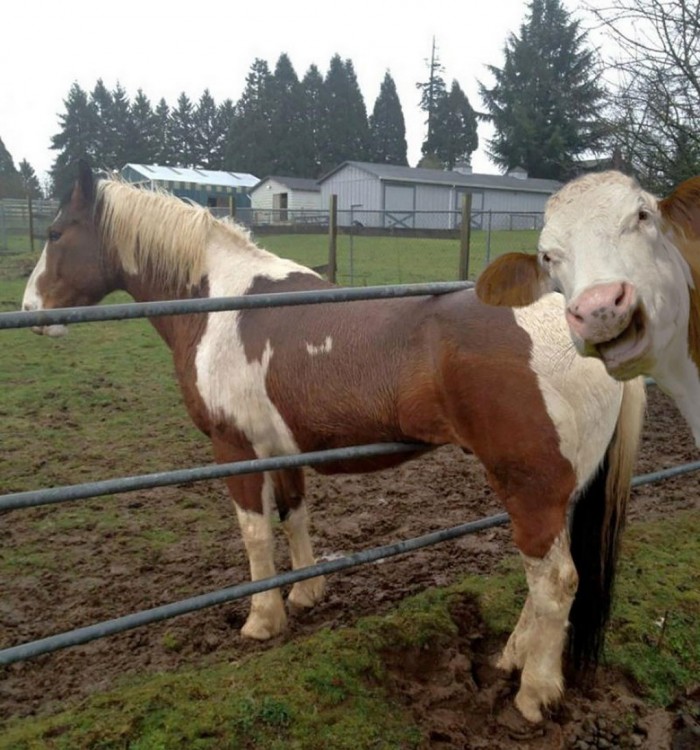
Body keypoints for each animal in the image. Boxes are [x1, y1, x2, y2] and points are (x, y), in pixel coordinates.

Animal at [21, 162, 644, 724]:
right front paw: (305, 595)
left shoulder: (234, 449)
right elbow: (294, 515)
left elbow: (254, 533)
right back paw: (511, 658)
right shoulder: (283, 447)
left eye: (55, 233)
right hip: (555, 493)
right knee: (542, 583)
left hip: (530, 488)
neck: (219, 303)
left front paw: (262, 619)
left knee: (555, 583)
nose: (30, 312)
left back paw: (534, 693)